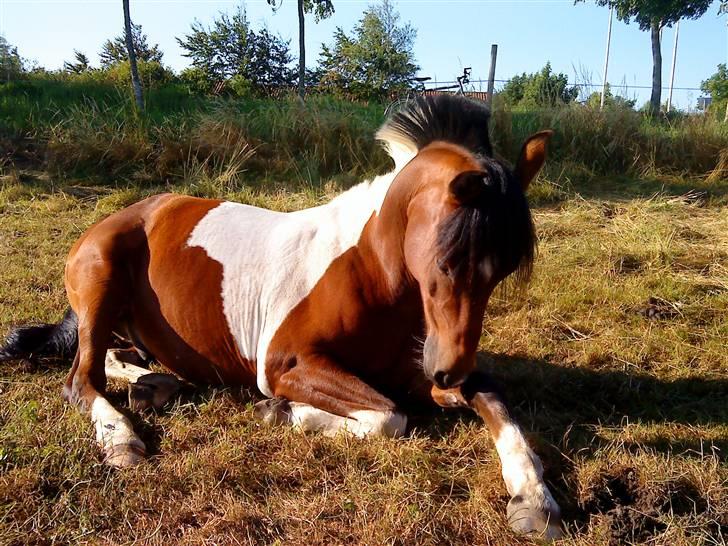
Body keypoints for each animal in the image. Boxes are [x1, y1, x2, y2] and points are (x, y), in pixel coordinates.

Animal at [0, 95, 564, 536]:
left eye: (502, 271)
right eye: (448, 261)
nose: (448, 370)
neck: (369, 272)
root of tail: (134, 211)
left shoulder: (414, 369)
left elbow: (490, 400)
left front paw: (535, 500)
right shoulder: (284, 365)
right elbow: (389, 416)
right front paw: (283, 412)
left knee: (118, 358)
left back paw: (156, 386)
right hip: (100, 281)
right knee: (83, 376)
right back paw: (124, 440)